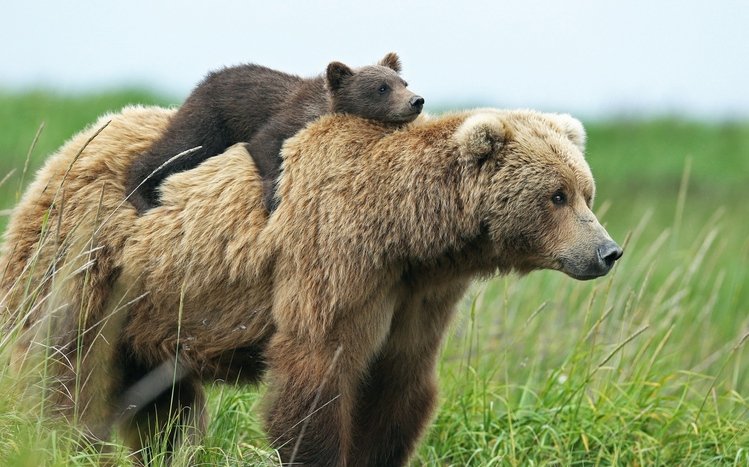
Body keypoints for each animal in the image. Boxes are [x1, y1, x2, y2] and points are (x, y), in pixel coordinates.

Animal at [0, 105, 622, 466]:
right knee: (62, 367)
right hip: (85, 262)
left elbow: (398, 385)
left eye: (586, 190)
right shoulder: (335, 260)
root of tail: (68, 147)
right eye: (557, 195)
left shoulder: (416, 296)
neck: (407, 233)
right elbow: (316, 374)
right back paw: (58, 443)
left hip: (153, 309)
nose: (607, 251)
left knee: (163, 404)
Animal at [124, 52, 424, 214]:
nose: (416, 101)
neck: (323, 106)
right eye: (382, 88)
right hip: (210, 119)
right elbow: (265, 143)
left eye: (403, 82)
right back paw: (141, 196)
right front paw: (273, 197)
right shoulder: (288, 117)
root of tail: (204, 81)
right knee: (178, 148)